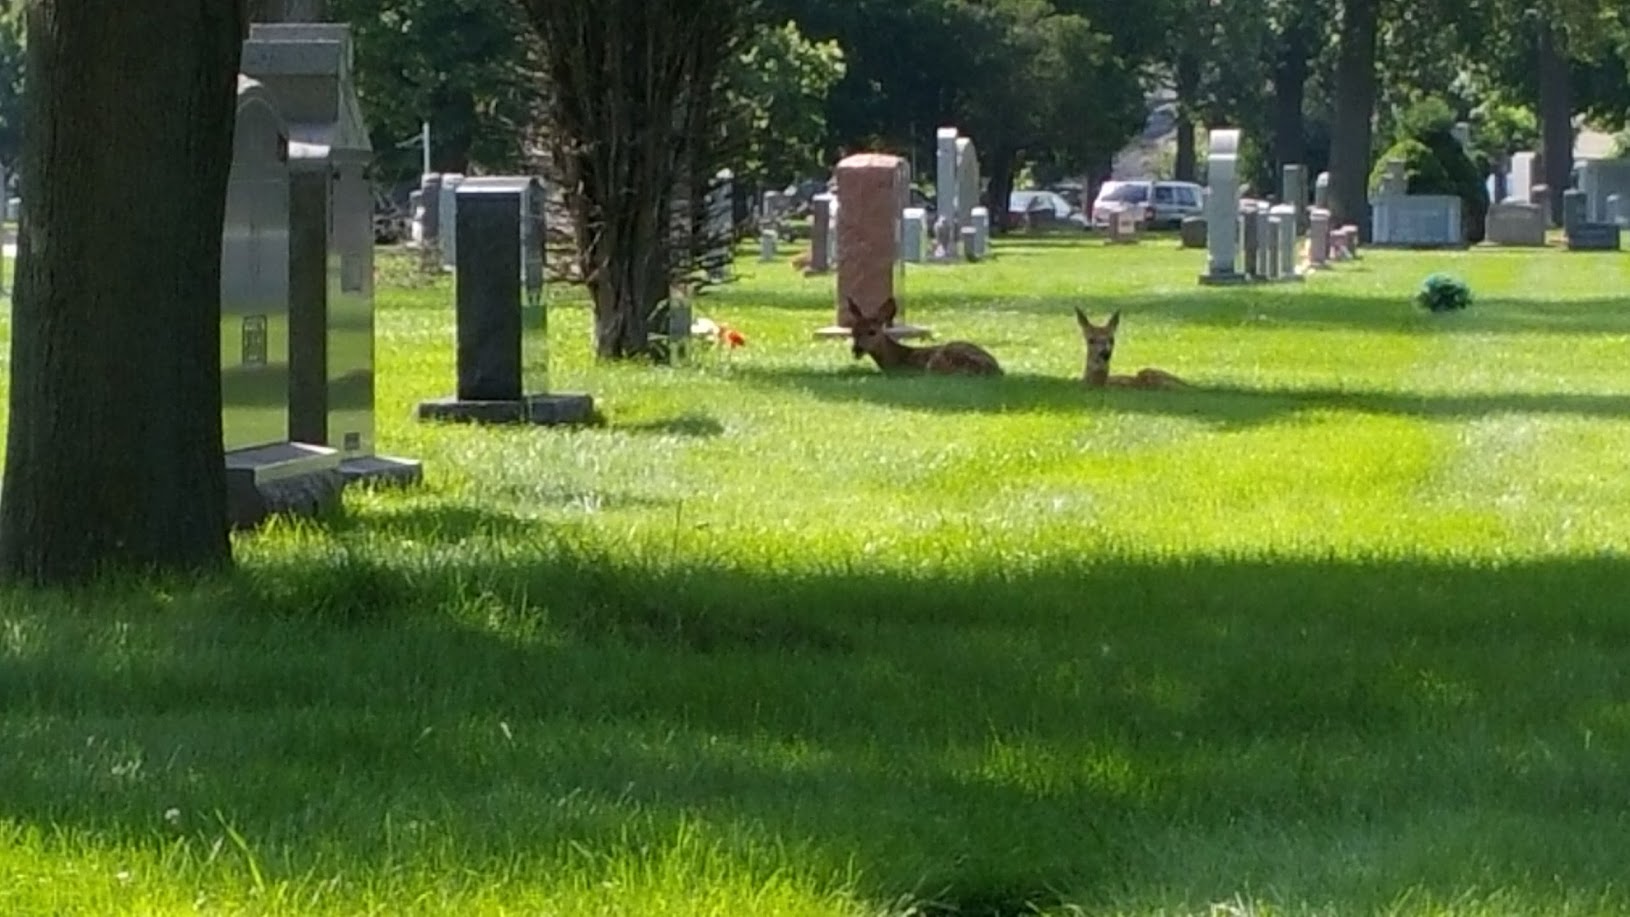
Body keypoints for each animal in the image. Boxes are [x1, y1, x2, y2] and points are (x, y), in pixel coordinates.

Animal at [847, 298, 997, 376]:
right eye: (853, 332)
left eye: (872, 332)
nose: (856, 350)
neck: (897, 358)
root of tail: (996, 370)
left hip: (936, 363)